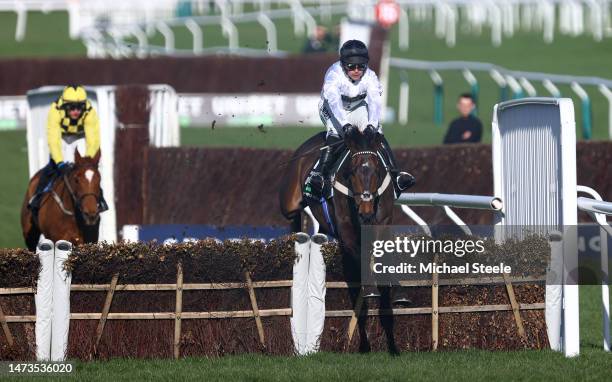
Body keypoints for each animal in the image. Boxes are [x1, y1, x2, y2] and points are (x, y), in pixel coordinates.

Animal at [278, 127, 402, 352]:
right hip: (288, 201)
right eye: (351, 172)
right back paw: (299, 233)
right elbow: (361, 261)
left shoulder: (384, 223)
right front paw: (371, 291)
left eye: (377, 172)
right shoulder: (346, 232)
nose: (365, 211)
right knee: (292, 215)